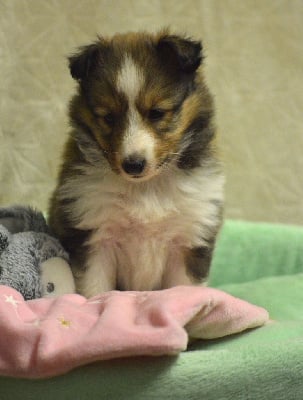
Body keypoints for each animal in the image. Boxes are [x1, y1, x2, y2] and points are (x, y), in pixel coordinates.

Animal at [48, 29, 224, 298]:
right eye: (108, 117)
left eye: (157, 113)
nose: (133, 165)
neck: (146, 188)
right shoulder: (93, 235)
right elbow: (95, 290)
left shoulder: (189, 237)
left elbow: (185, 289)